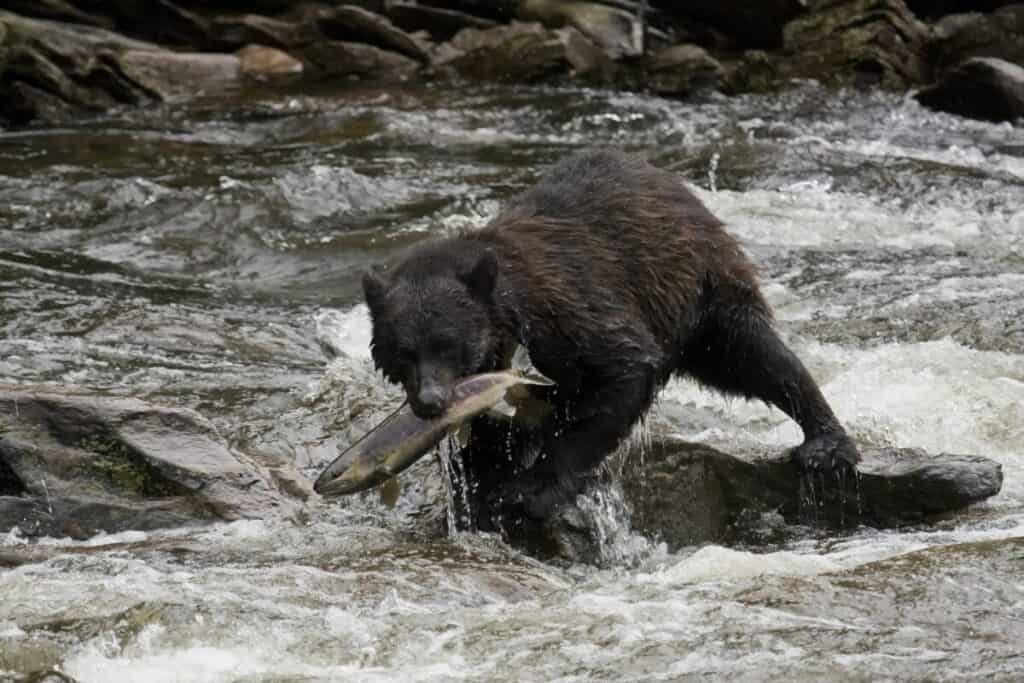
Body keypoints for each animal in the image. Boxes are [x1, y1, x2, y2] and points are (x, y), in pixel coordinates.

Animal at [362, 149, 859, 533]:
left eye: (449, 344)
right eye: (404, 351)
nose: (430, 401)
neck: (512, 319)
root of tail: (673, 181)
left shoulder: (567, 311)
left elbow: (619, 371)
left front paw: (531, 488)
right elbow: (490, 433)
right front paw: (481, 489)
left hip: (699, 291)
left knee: (756, 357)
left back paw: (826, 444)